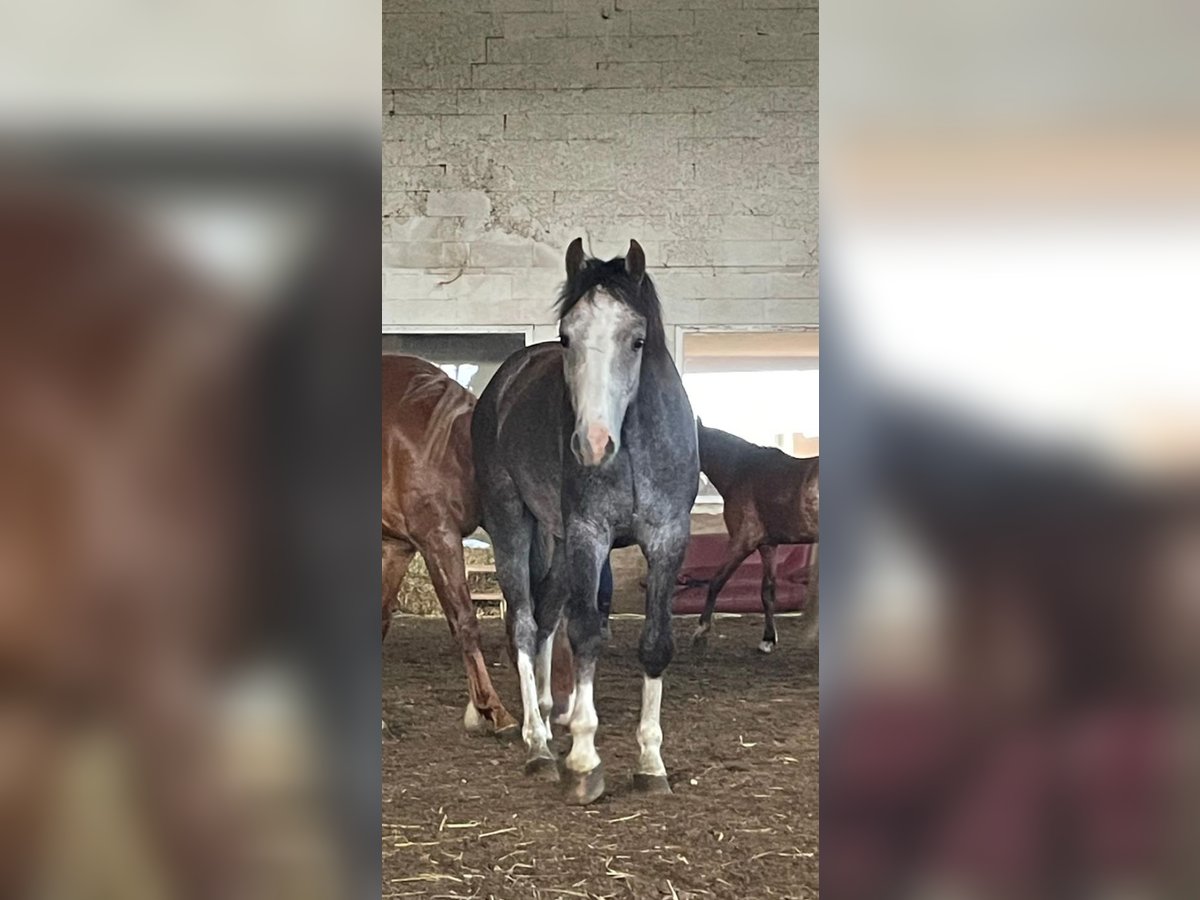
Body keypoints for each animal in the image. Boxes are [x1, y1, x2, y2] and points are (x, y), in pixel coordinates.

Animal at [468, 237, 700, 801]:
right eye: (567, 337)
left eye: (637, 340)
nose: (592, 444)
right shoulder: (588, 536)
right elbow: (588, 633)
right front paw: (584, 759)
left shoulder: (669, 540)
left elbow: (655, 643)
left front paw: (650, 764)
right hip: (513, 523)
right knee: (525, 624)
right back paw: (538, 746)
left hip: (554, 540)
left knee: (547, 616)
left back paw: (549, 715)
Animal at [691, 422, 820, 657]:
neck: (740, 471)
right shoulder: (768, 546)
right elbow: (767, 591)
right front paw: (767, 639)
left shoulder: (743, 542)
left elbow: (716, 581)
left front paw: (701, 633)